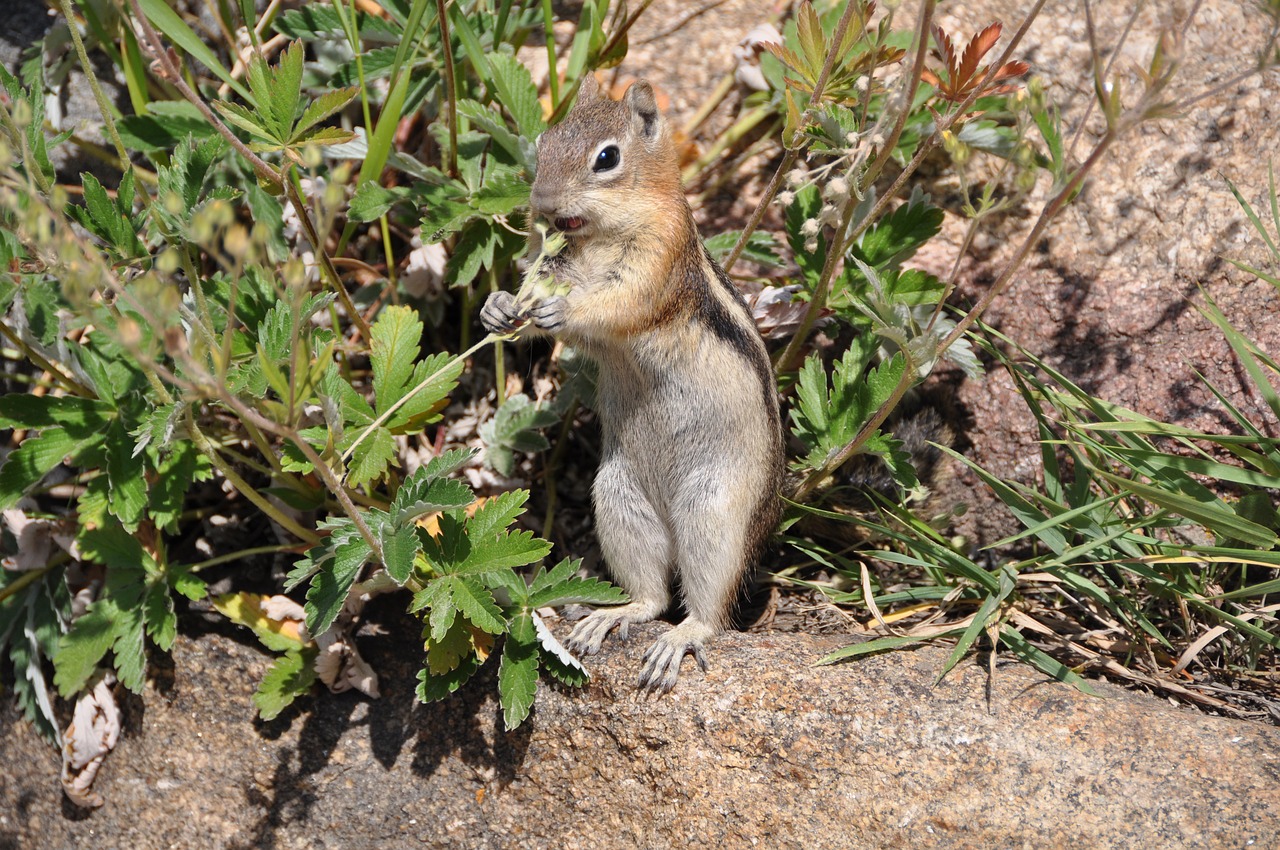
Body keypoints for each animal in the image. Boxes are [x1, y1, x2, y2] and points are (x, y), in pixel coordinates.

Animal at [478, 74, 778, 691]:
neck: (598, 236)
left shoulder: (658, 260)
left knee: (706, 609)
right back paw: (610, 617)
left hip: (714, 512)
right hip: (620, 501)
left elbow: (618, 305)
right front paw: (500, 307)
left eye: (607, 158)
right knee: (654, 596)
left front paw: (562, 311)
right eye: (543, 143)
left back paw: (678, 641)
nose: (542, 204)